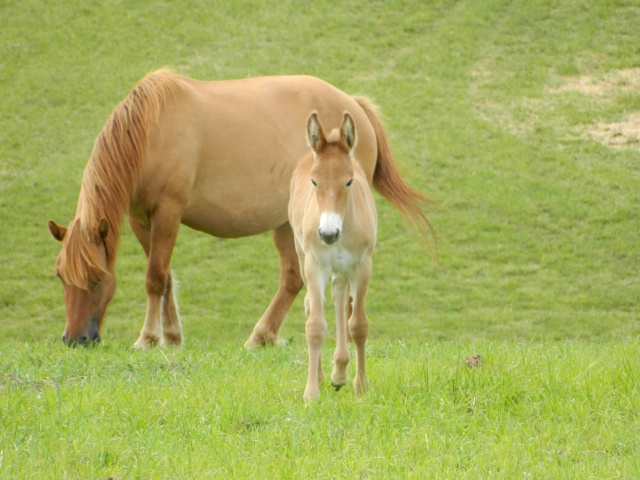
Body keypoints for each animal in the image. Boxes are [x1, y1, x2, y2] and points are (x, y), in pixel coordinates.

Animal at [50, 69, 436, 346]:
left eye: (96, 278)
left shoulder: (168, 213)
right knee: (293, 278)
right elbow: (166, 278)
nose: (74, 339)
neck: (150, 132)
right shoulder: (140, 219)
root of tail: (355, 106)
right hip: (288, 224)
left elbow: (155, 277)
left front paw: (147, 339)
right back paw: (264, 336)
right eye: (60, 277)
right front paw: (171, 338)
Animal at [288, 112, 376, 402]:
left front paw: (361, 386)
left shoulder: (362, 266)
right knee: (312, 305)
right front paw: (311, 393)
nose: (328, 234)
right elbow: (315, 326)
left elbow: (358, 325)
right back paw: (324, 376)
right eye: (314, 181)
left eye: (349, 181)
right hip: (302, 255)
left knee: (339, 297)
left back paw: (339, 373)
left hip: (343, 269)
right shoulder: (315, 265)